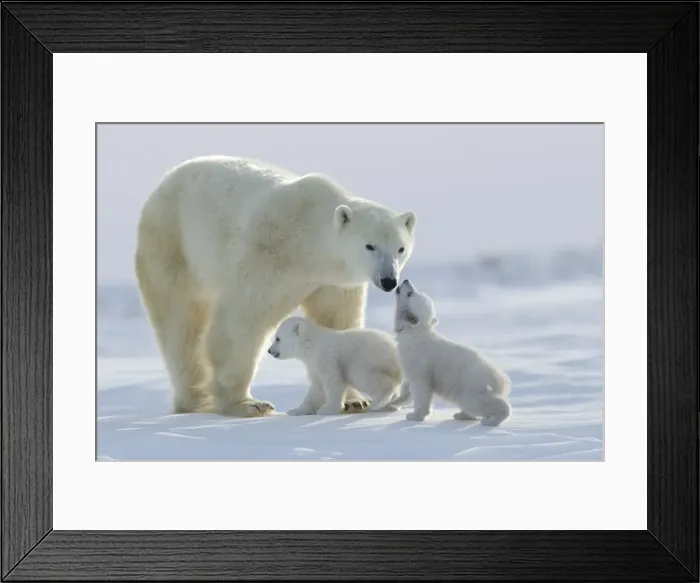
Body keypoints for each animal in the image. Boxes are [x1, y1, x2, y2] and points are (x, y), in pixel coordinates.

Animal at [267, 316, 404, 415]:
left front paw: (327, 409)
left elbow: (332, 381)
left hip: (368, 359)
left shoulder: (326, 358)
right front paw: (295, 410)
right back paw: (389, 406)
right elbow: (316, 388)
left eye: (277, 338)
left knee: (364, 376)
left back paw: (378, 403)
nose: (269, 351)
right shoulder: (313, 365)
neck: (311, 344)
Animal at [393, 279, 512, 426]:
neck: (414, 333)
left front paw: (414, 415)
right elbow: (408, 384)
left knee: (477, 402)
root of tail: (502, 380)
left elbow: (421, 388)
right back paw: (461, 415)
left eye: (410, 293)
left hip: (472, 385)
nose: (405, 280)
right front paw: (397, 400)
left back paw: (491, 420)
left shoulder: (420, 361)